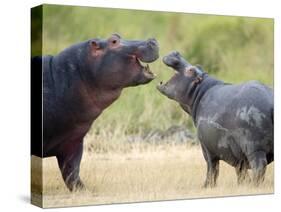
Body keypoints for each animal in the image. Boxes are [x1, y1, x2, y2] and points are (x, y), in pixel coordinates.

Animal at [31, 34, 158, 191]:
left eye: (116, 35)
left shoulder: (73, 141)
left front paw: (83, 190)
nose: (152, 39)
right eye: (113, 41)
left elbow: (72, 171)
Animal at [156, 51, 272, 187]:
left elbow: (211, 167)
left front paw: (206, 186)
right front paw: (241, 185)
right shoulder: (237, 153)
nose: (176, 53)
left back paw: (255, 185)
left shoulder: (206, 147)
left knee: (259, 166)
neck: (200, 90)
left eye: (191, 70)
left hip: (255, 149)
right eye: (198, 66)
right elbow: (240, 171)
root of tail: (271, 103)